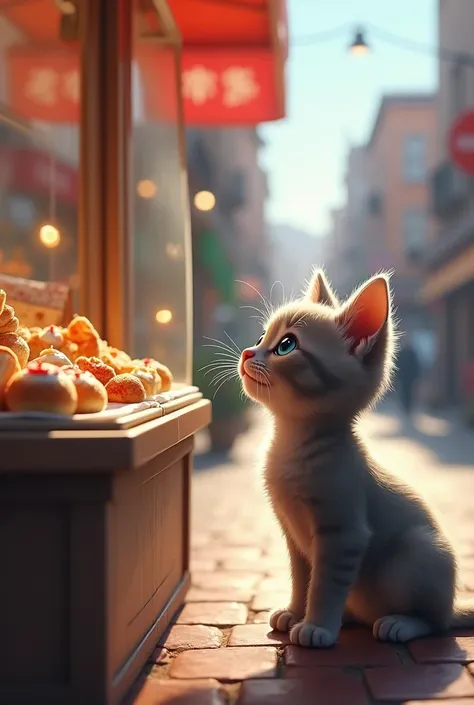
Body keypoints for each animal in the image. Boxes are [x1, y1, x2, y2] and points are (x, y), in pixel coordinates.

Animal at [239, 270, 474, 648]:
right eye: (262, 337)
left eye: (286, 345)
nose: (248, 352)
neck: (292, 445)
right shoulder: (293, 537)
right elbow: (301, 578)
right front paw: (294, 611)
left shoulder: (343, 534)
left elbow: (324, 585)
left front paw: (316, 626)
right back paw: (349, 618)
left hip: (420, 549)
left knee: (437, 622)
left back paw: (401, 623)